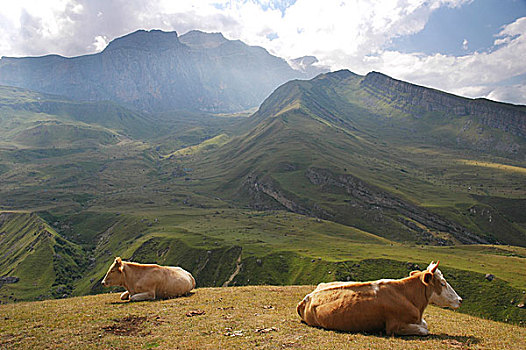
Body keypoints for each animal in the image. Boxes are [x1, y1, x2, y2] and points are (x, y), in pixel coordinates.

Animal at [300, 262, 464, 334]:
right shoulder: (394, 326)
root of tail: (309, 296)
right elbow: (424, 329)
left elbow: (424, 324)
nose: (460, 300)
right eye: (442, 283)